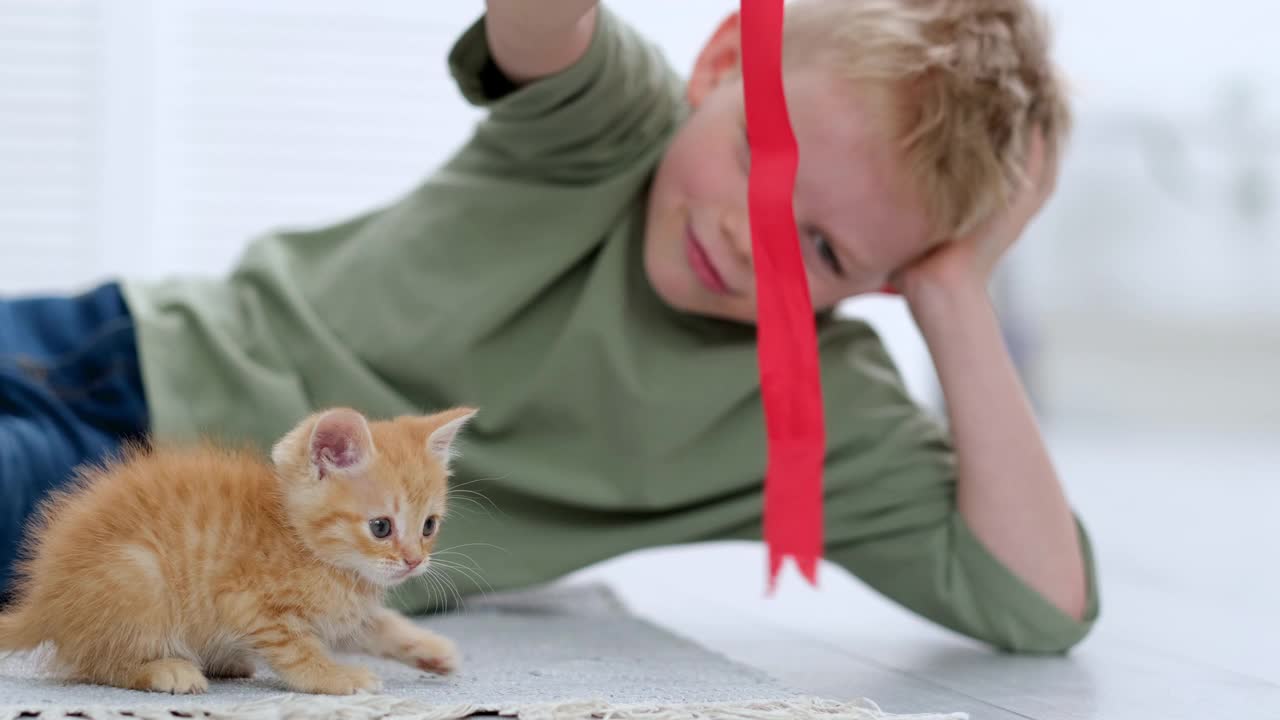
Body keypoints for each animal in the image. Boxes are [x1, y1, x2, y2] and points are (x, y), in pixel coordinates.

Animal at [0, 404, 476, 691]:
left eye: (429, 526)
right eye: (381, 527)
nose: (414, 561)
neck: (300, 540)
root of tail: (43, 601)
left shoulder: (343, 611)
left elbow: (380, 626)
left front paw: (432, 651)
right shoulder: (246, 601)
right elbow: (298, 650)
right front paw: (335, 677)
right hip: (138, 573)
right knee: (96, 666)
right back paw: (165, 669)